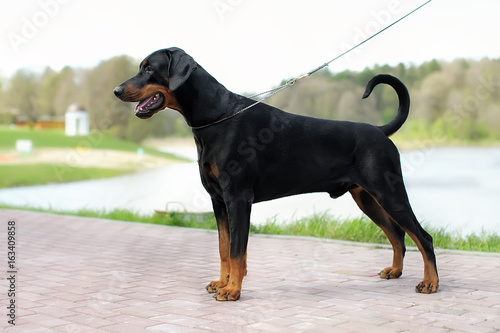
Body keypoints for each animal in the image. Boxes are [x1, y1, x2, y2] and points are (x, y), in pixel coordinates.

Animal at [113, 47, 438, 300]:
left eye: (149, 68)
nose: (116, 91)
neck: (216, 117)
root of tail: (380, 131)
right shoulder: (218, 201)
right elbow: (223, 248)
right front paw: (222, 283)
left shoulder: (238, 198)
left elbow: (236, 251)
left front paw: (232, 291)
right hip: (367, 198)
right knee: (398, 233)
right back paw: (395, 271)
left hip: (389, 192)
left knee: (423, 236)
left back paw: (430, 283)